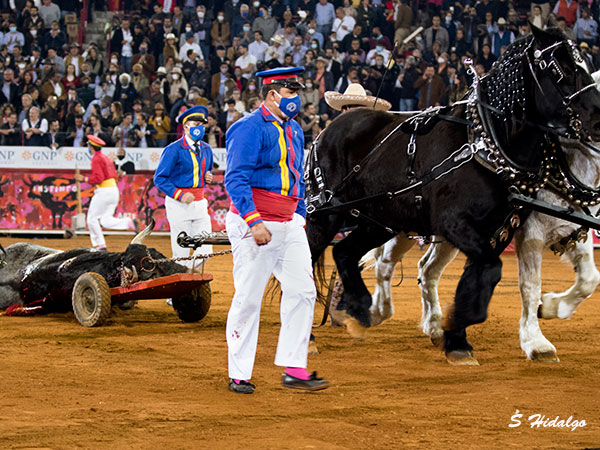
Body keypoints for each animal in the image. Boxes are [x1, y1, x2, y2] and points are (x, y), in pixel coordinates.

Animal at [308, 26, 600, 366]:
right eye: (559, 67)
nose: (598, 118)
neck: (486, 144)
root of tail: (327, 130)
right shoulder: (464, 225)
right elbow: (509, 277)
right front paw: (527, 339)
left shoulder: (502, 229)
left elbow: (483, 275)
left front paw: (456, 337)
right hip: (327, 215)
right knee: (316, 258)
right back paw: (316, 333)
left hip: (379, 220)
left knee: (348, 253)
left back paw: (363, 310)